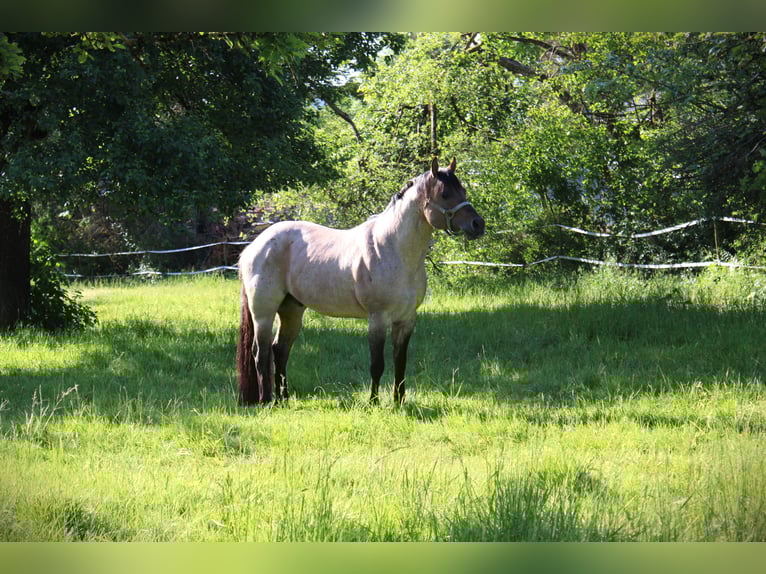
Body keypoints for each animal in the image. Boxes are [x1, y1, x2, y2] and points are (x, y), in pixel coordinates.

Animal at [236, 157, 485, 406]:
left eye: (463, 190)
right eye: (445, 194)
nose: (478, 224)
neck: (394, 249)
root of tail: (254, 246)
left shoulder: (406, 319)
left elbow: (400, 363)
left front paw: (399, 402)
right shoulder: (377, 318)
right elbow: (377, 365)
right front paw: (374, 403)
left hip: (292, 310)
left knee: (280, 350)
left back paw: (283, 399)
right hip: (263, 313)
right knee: (261, 353)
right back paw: (266, 400)